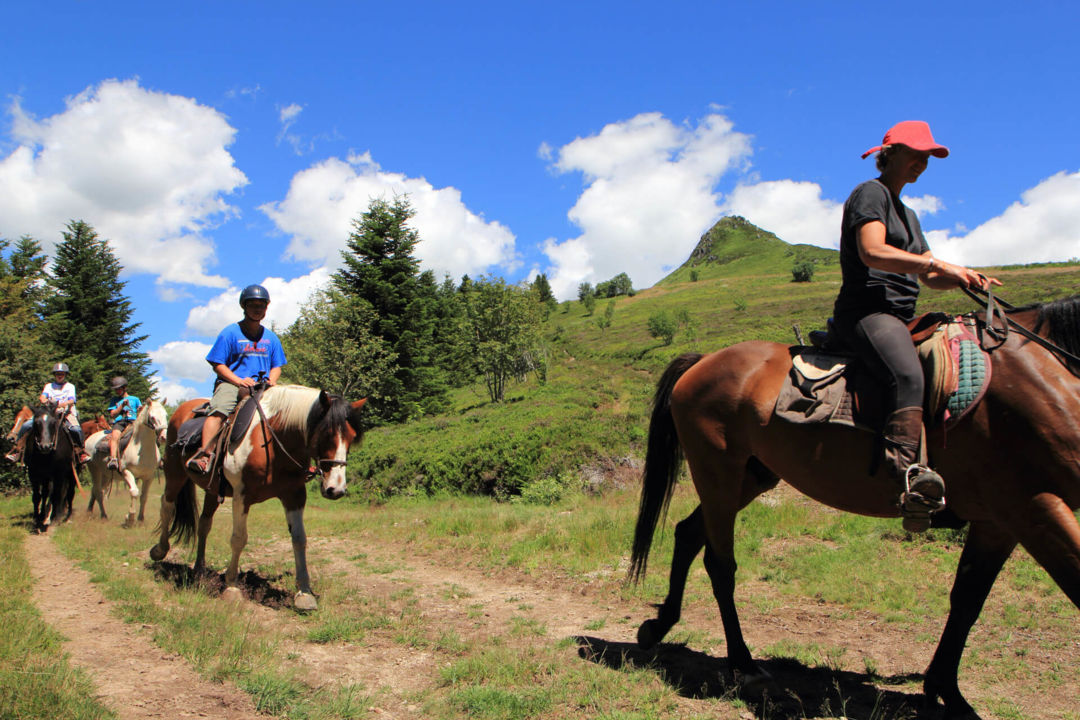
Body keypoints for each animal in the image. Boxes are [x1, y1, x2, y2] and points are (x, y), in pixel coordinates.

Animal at [147, 386, 369, 613]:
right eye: (327, 433)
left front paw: (304, 593)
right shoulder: (241, 495)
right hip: (174, 473)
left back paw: (200, 568)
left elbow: (299, 539)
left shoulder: (295, 495)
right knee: (167, 506)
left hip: (212, 489)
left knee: (204, 524)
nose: (336, 489)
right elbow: (238, 539)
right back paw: (159, 550)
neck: (273, 443)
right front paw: (232, 587)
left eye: (352, 437)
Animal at [626, 293, 1080, 720]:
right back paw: (744, 663)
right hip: (718, 471)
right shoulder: (1031, 507)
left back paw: (659, 626)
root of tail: (701, 362)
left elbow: (967, 600)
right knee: (720, 564)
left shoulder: (997, 522)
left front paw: (947, 693)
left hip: (749, 477)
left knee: (688, 533)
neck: (1041, 376)